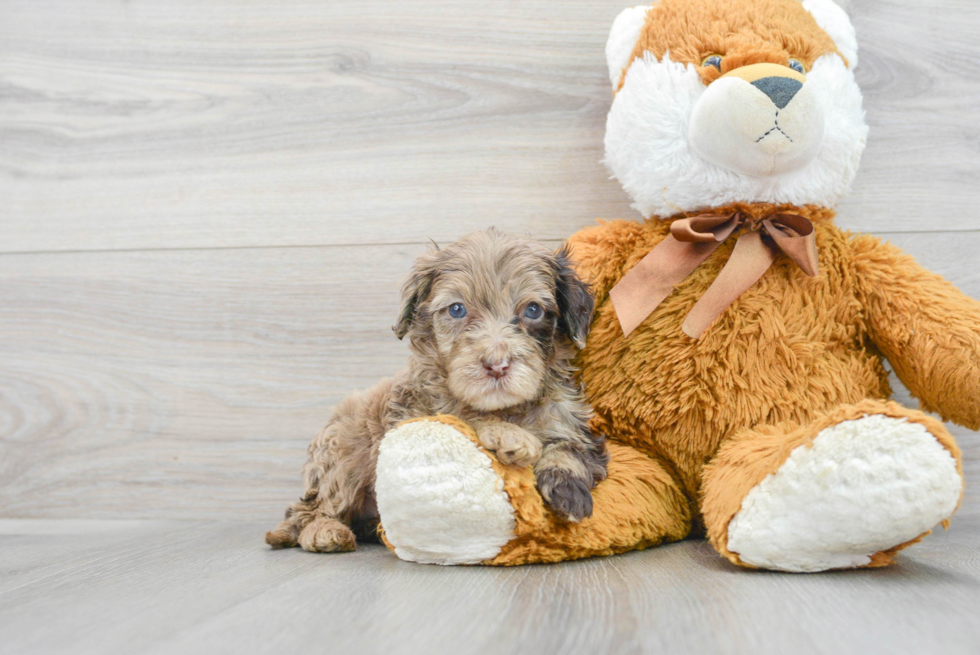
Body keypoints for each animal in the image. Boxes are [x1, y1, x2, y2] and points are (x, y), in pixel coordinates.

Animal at [268, 231, 604, 552]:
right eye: (457, 309)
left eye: (533, 310)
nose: (496, 365)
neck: (507, 408)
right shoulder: (413, 414)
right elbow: (459, 413)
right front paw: (509, 435)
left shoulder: (570, 418)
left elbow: (570, 449)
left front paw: (568, 490)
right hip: (341, 456)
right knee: (309, 509)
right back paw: (325, 532)